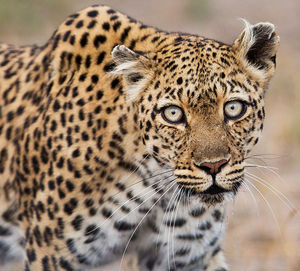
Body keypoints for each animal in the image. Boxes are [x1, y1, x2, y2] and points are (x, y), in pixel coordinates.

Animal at [0, 4, 278, 271]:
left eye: (233, 108)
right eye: (173, 114)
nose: (213, 166)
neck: (154, 182)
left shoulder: (186, 255)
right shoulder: (50, 252)